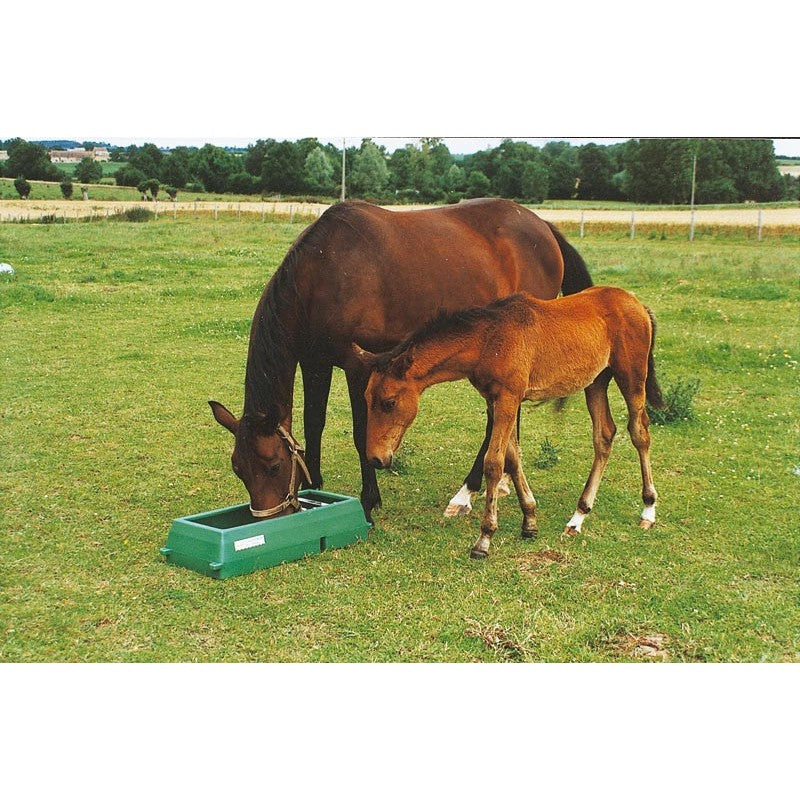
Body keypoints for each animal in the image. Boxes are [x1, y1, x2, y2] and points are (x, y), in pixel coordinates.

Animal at [209, 198, 593, 522]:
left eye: (273, 466)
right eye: (239, 469)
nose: (268, 520)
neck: (324, 272)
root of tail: (543, 226)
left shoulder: (357, 366)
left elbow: (362, 432)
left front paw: (368, 501)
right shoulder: (315, 363)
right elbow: (313, 424)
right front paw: (313, 487)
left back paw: (466, 492)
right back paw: (500, 483)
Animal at [353, 286, 665, 559]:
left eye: (389, 402)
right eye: (366, 398)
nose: (376, 458)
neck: (488, 340)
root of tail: (638, 304)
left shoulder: (507, 398)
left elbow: (494, 462)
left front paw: (484, 538)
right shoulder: (498, 401)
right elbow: (513, 459)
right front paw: (530, 521)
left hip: (631, 377)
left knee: (640, 432)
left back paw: (648, 510)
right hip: (596, 381)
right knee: (604, 436)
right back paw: (578, 517)